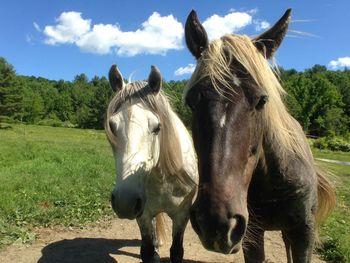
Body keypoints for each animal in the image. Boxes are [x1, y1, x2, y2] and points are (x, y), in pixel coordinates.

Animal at [104, 64, 197, 263]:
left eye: (157, 127)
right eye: (112, 126)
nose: (125, 201)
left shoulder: (182, 215)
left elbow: (176, 251)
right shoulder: (144, 214)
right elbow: (147, 252)